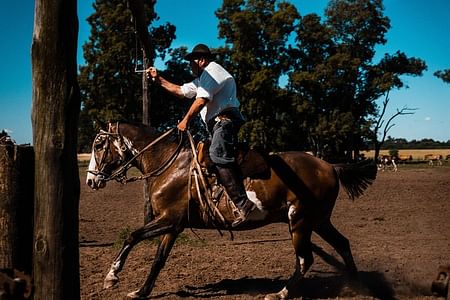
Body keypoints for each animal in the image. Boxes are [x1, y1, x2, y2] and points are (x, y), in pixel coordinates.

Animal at [86, 122, 378, 300]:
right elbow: (158, 260)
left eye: (99, 145)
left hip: (300, 222)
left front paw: (112, 277)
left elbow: (132, 236)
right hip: (318, 221)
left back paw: (281, 293)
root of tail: (329, 166)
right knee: (342, 243)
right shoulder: (173, 224)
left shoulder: (167, 220)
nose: (90, 180)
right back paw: (358, 286)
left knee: (305, 259)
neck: (169, 163)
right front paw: (141, 291)